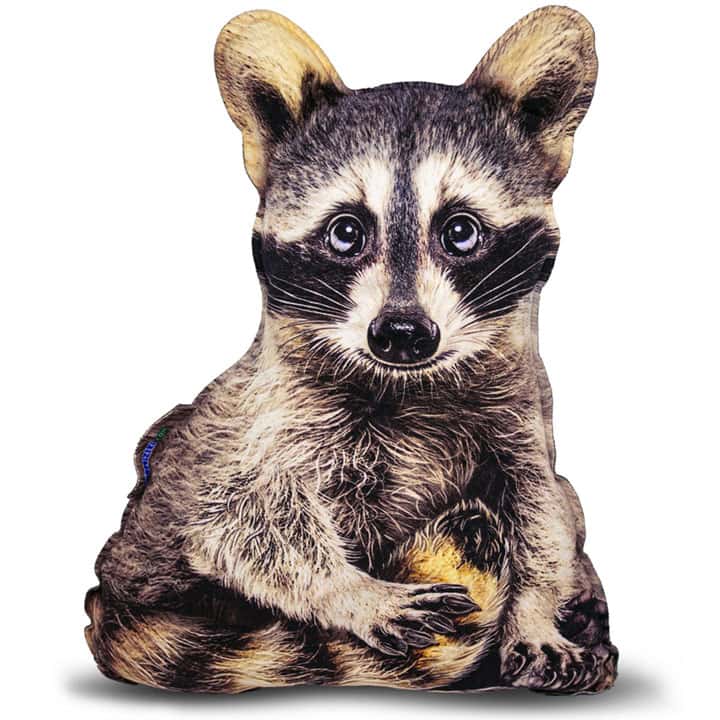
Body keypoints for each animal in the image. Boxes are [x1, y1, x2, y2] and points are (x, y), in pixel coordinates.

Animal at [85, 6, 617, 694]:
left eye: (460, 230)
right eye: (345, 233)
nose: (403, 333)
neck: (408, 383)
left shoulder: (520, 416)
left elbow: (543, 513)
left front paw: (536, 614)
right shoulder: (266, 420)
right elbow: (233, 519)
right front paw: (351, 592)